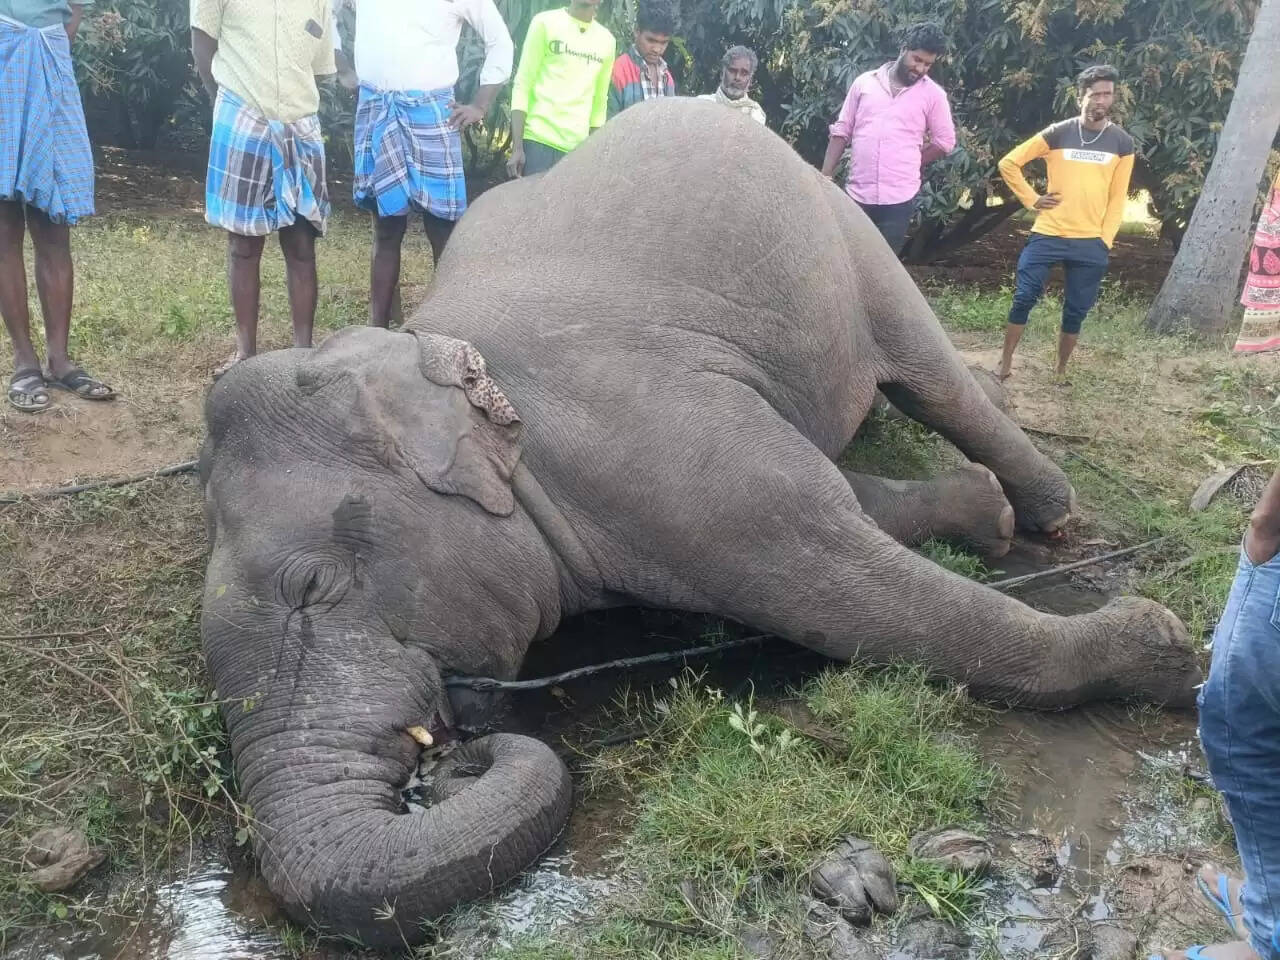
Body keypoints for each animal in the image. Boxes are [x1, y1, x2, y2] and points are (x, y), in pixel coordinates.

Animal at [199, 98, 1199, 949]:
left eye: (313, 587)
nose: (452, 758)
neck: (433, 349)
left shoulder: (657, 448)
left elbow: (839, 580)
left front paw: (1161, 647)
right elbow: (838, 516)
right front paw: (987, 529)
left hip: (849, 235)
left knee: (932, 376)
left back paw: (1051, 515)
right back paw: (996, 515)